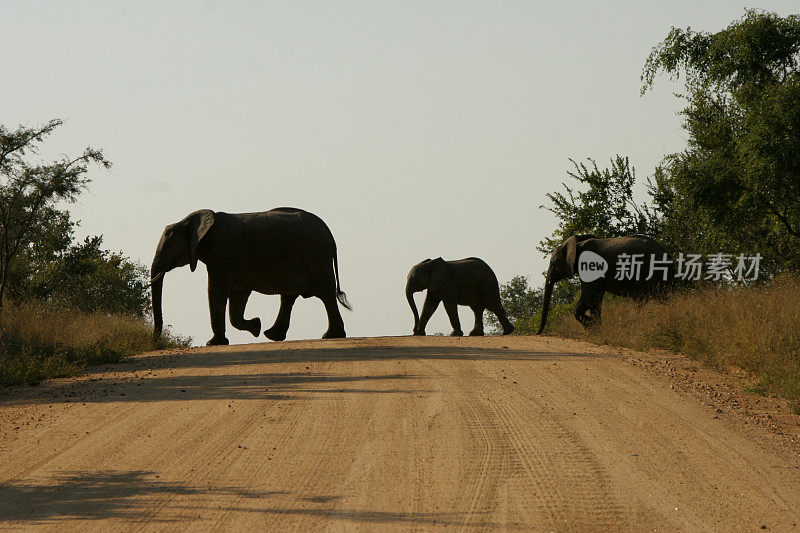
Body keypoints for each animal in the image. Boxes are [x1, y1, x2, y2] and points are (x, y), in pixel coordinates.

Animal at [150, 206, 350, 348]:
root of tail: (328, 232)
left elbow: (216, 290)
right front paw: (256, 326)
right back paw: (271, 334)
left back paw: (331, 336)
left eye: (168, 246)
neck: (190, 221)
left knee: (326, 294)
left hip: (316, 256)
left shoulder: (223, 253)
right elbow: (238, 295)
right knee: (289, 296)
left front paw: (214, 343)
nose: (155, 340)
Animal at [536, 234, 672, 332]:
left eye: (553, 263)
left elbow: (589, 294)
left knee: (641, 299)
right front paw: (596, 328)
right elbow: (596, 298)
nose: (538, 333)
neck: (577, 244)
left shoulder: (590, 265)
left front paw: (591, 326)